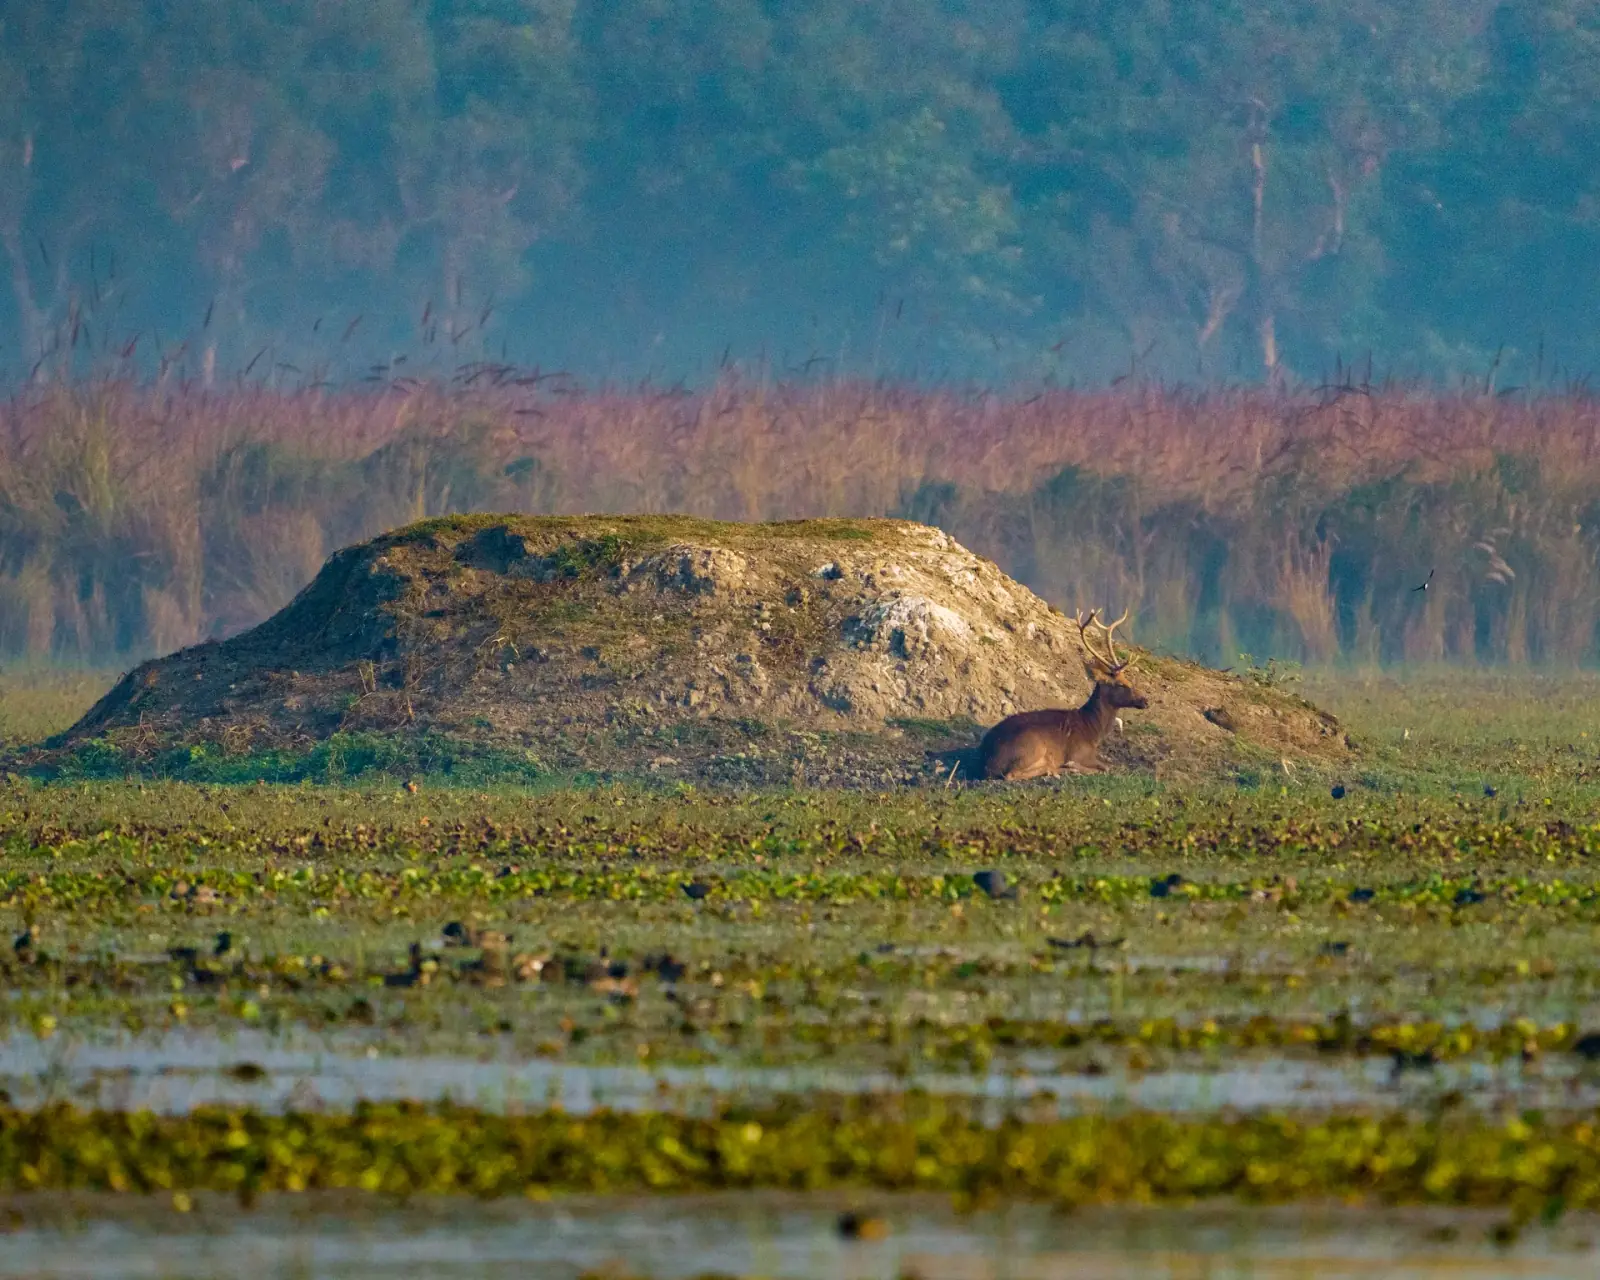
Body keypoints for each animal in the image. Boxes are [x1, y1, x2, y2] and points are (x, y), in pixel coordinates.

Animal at [977, 608, 1149, 781]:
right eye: (1121, 684)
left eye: (1128, 679)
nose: (1145, 700)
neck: (1093, 731)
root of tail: (986, 761)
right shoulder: (1081, 752)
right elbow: (1106, 767)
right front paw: (1073, 766)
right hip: (1032, 746)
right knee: (1011, 774)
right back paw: (1056, 769)